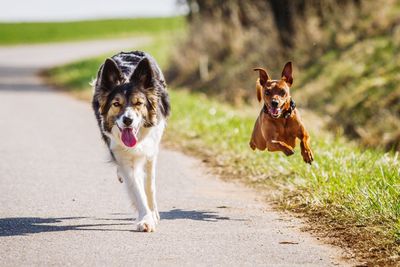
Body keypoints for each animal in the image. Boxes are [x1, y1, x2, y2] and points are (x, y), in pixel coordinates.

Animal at [92, 51, 170, 232]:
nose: (128, 120)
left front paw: (152, 214)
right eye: (116, 104)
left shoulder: (151, 152)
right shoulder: (123, 156)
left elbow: (149, 186)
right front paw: (145, 219)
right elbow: (136, 189)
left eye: (138, 103)